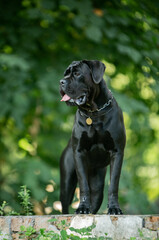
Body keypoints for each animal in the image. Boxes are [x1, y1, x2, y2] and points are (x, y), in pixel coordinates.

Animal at [59, 60, 125, 214]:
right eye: (66, 73)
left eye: (77, 73)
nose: (61, 82)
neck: (93, 112)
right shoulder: (79, 152)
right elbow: (83, 185)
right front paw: (82, 208)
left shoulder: (117, 152)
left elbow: (113, 185)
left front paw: (114, 208)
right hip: (67, 182)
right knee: (64, 205)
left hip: (97, 185)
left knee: (95, 199)